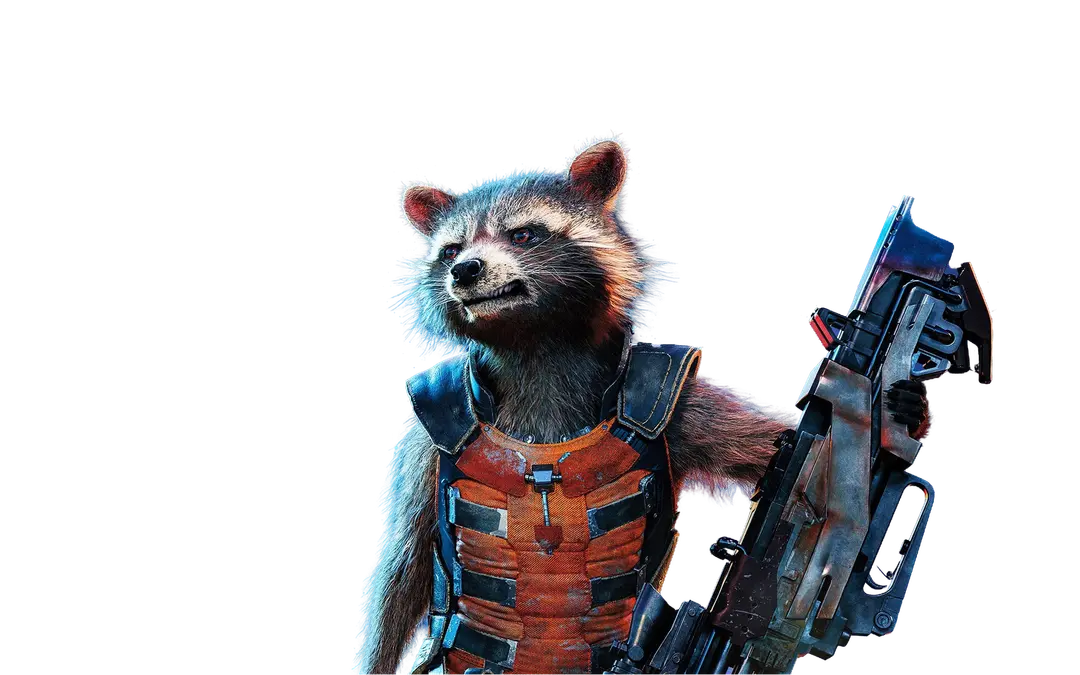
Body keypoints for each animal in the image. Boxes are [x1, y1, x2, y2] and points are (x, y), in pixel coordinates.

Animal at [357, 138, 930, 675]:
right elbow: (402, 568)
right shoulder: (426, 431)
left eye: (523, 234)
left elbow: (778, 446)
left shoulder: (676, 402)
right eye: (451, 248)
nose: (465, 269)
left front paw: (901, 414)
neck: (535, 346)